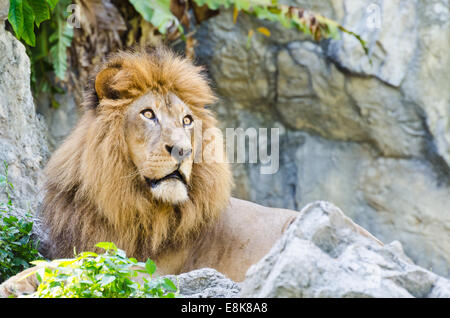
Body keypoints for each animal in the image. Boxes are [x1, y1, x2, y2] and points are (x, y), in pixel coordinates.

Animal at [0, 47, 298, 298]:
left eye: (187, 120)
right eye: (148, 114)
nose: (183, 150)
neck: (124, 203)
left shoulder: (154, 272)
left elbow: (82, 263)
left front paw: (17, 281)